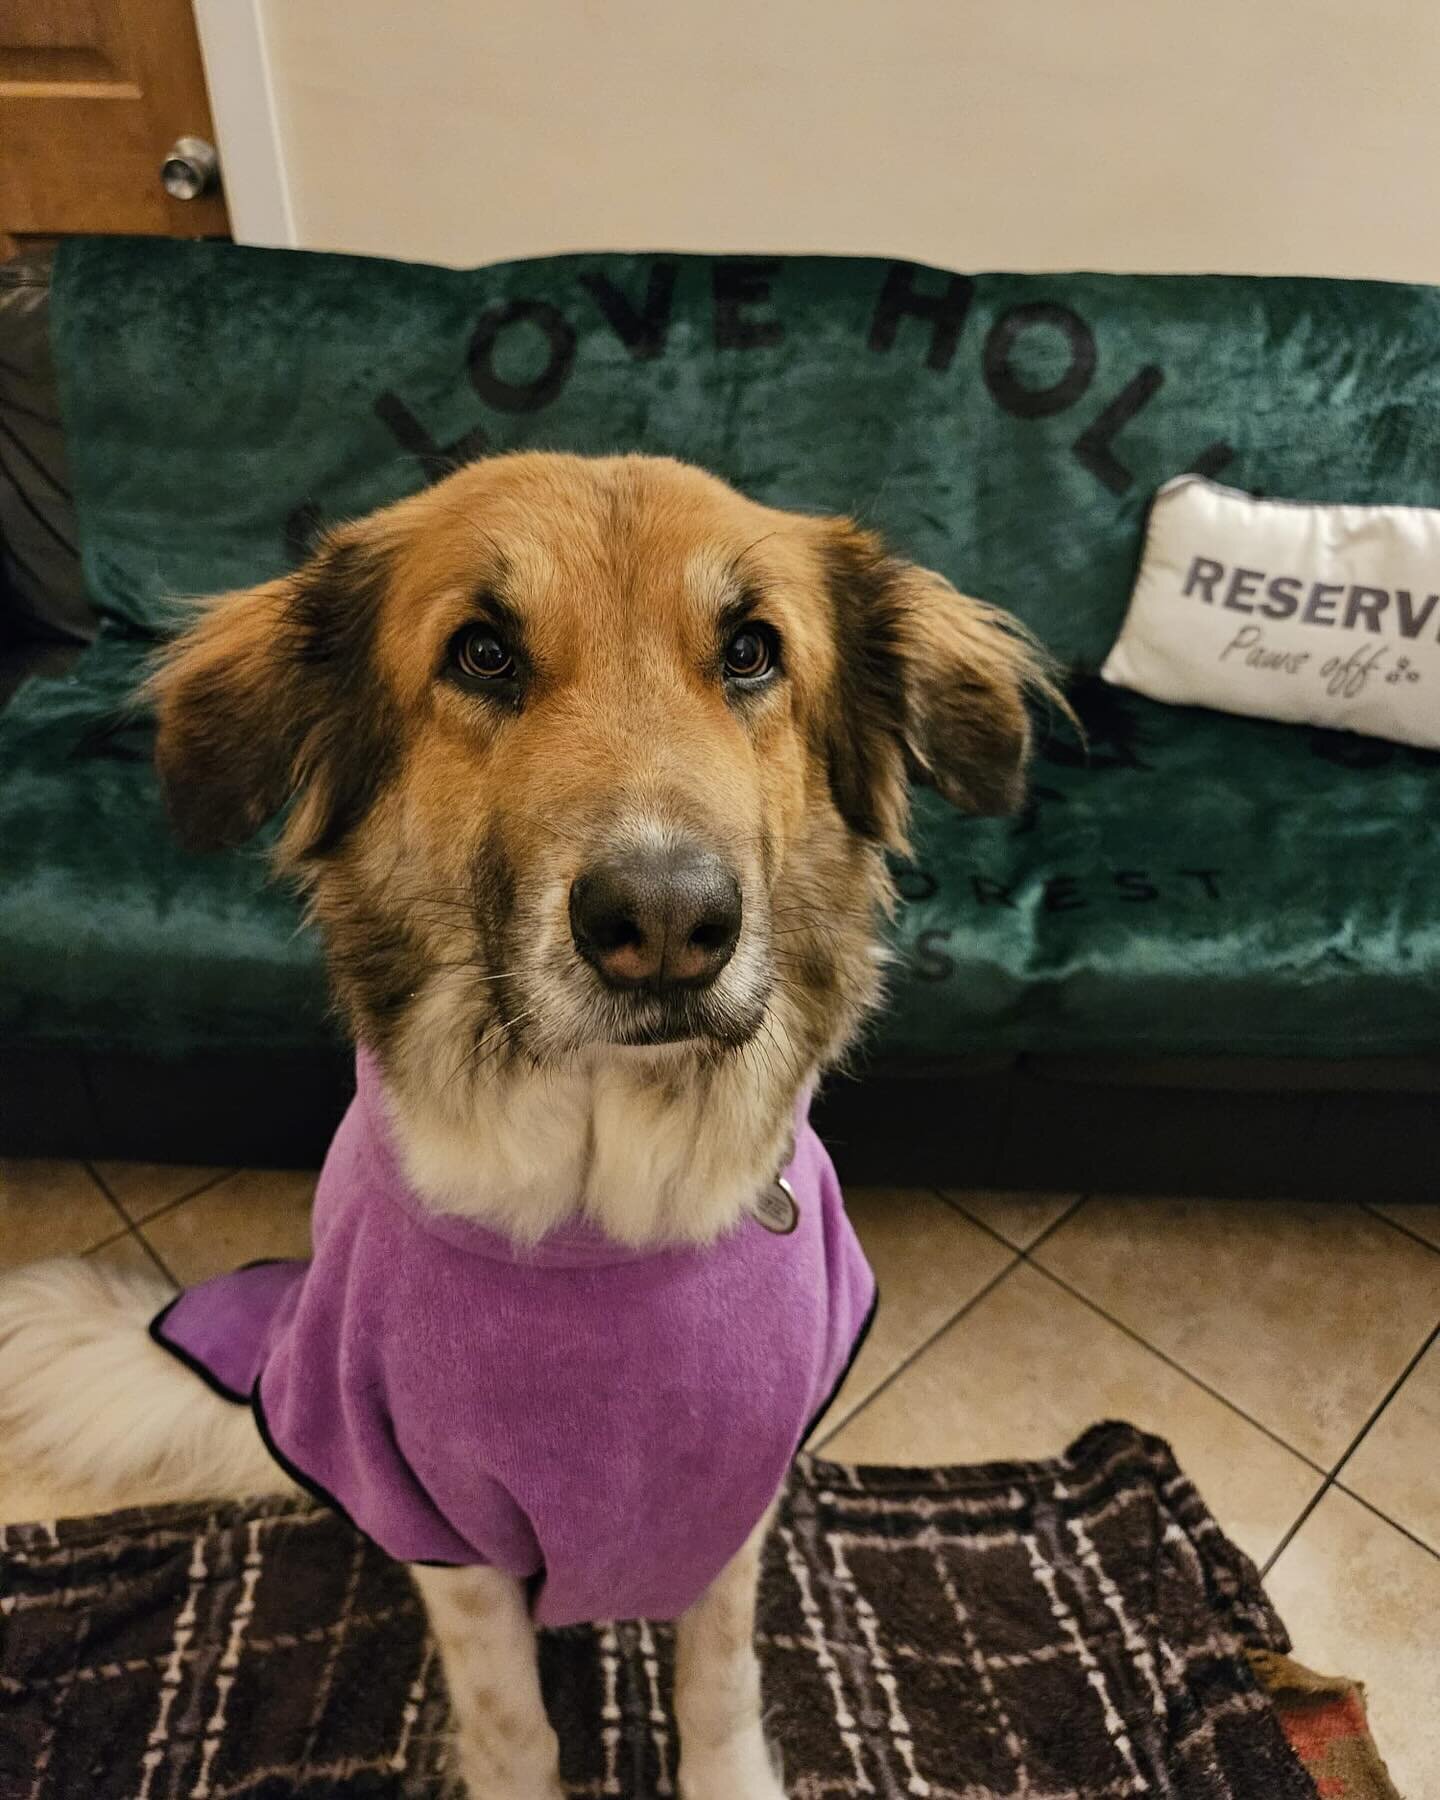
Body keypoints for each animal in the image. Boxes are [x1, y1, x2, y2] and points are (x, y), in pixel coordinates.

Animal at [0, 453, 1044, 1800]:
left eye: (750, 651)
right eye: (484, 654)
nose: (667, 923)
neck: (599, 1205)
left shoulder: (735, 1494)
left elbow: (716, 1685)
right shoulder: (435, 1522)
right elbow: (512, 1722)